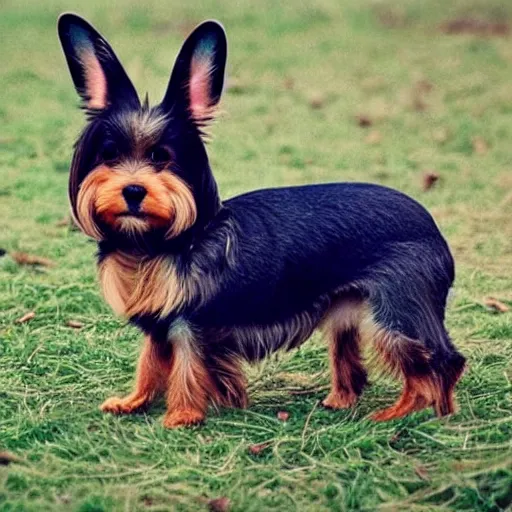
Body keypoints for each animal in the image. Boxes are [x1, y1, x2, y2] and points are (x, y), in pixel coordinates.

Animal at [58, 14, 466, 426]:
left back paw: (400, 414)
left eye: (162, 157)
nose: (133, 191)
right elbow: (149, 362)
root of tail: (432, 226)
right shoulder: (160, 324)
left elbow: (187, 368)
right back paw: (348, 402)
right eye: (109, 155)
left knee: (439, 364)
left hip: (395, 317)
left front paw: (182, 416)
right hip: (346, 313)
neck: (160, 241)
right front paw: (135, 401)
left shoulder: (192, 323)